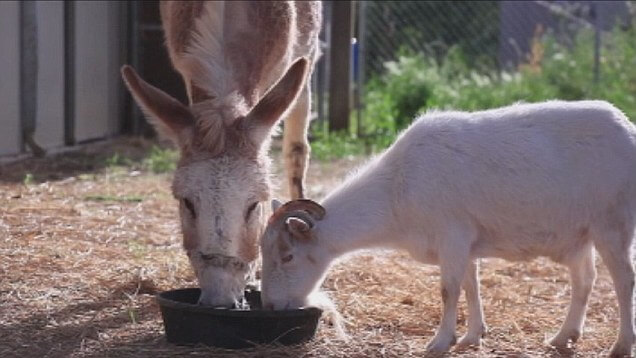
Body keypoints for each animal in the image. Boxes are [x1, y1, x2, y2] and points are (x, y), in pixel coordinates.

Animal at [260, 99, 636, 356]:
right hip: (580, 236)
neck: (397, 188)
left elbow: (449, 290)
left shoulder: (452, 236)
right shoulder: (465, 243)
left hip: (611, 224)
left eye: (288, 256)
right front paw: (472, 336)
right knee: (584, 280)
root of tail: (629, 130)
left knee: (623, 280)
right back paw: (562, 337)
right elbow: (471, 285)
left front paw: (440, 342)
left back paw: (620, 345)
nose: (269, 307)